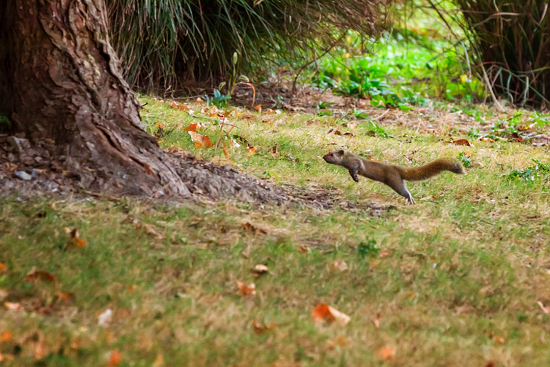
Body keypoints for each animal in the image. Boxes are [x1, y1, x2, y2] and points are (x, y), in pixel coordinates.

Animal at [324, 151, 466, 206]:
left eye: (331, 154)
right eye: (328, 152)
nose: (323, 157)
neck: (347, 161)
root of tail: (397, 169)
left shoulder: (356, 163)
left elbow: (357, 167)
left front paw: (356, 177)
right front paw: (355, 179)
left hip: (395, 182)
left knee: (406, 192)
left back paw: (411, 200)